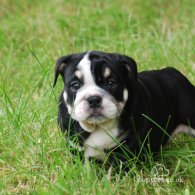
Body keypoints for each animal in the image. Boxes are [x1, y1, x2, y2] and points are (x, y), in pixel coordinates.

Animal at [53, 51, 195, 165]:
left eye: (111, 83)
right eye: (75, 85)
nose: (93, 99)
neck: (100, 126)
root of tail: (173, 72)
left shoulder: (126, 147)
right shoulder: (76, 147)